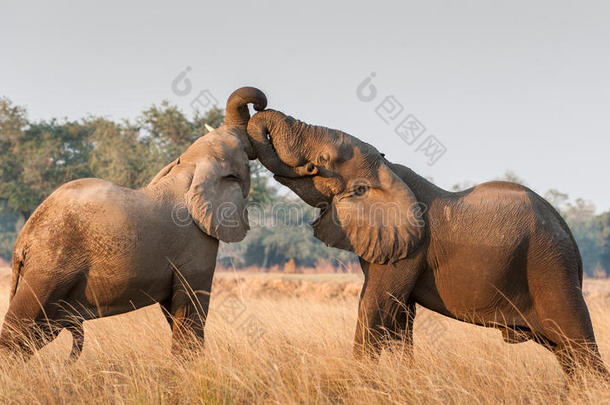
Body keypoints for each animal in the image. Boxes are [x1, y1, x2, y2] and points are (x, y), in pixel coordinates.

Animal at [0, 86, 266, 360]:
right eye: (244, 155)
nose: (259, 108)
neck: (189, 168)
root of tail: (24, 239)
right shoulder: (196, 243)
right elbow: (191, 309)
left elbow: (176, 312)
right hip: (50, 267)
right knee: (20, 329)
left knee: (37, 332)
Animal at [246, 108, 608, 378]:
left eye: (323, 159)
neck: (387, 168)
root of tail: (571, 239)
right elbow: (400, 316)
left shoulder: (408, 251)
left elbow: (376, 307)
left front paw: (359, 378)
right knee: (566, 354)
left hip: (550, 269)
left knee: (578, 343)